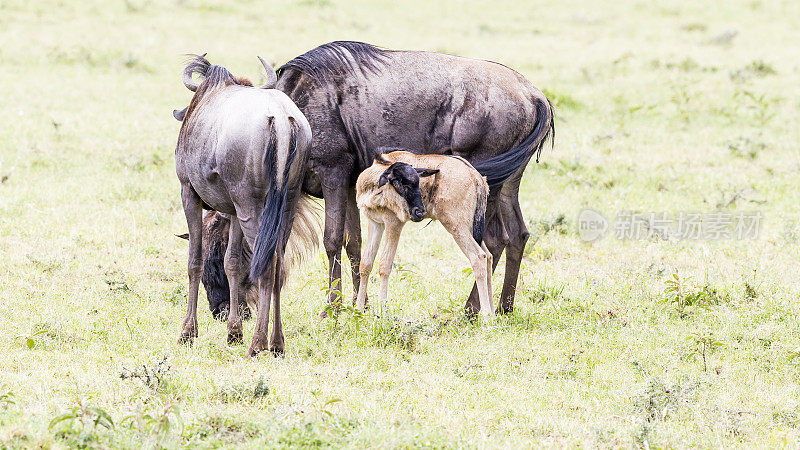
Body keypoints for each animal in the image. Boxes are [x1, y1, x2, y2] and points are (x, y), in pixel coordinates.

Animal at [356, 151, 494, 316]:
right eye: (397, 182)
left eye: (418, 182)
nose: (419, 212)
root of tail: (475, 175)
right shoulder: (375, 223)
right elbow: (365, 264)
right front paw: (357, 309)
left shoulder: (394, 223)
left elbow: (385, 265)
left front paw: (383, 310)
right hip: (471, 228)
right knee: (489, 256)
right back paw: (493, 313)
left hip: (457, 227)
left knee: (479, 257)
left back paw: (486, 315)